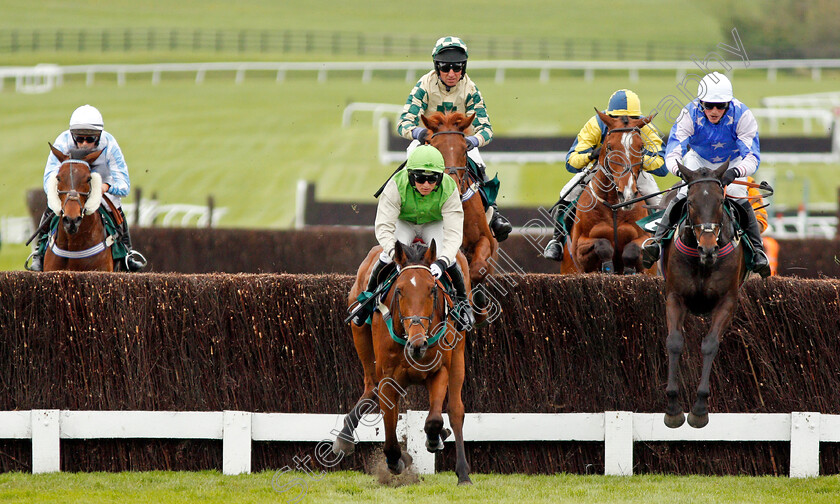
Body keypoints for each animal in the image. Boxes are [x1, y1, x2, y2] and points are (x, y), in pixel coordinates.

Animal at [334, 242, 472, 486]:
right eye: (399, 290)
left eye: (432, 290)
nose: (418, 344)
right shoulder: (389, 378)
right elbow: (390, 434)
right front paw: (398, 461)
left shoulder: (439, 370)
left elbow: (434, 419)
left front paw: (434, 439)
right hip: (360, 336)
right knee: (371, 385)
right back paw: (345, 437)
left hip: (458, 351)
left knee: (456, 410)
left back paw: (463, 472)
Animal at [664, 161, 748, 430]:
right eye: (690, 202)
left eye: (720, 201)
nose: (708, 248)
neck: (703, 263)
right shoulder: (675, 297)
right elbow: (674, 342)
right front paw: (673, 408)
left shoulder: (727, 302)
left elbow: (710, 344)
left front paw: (699, 409)